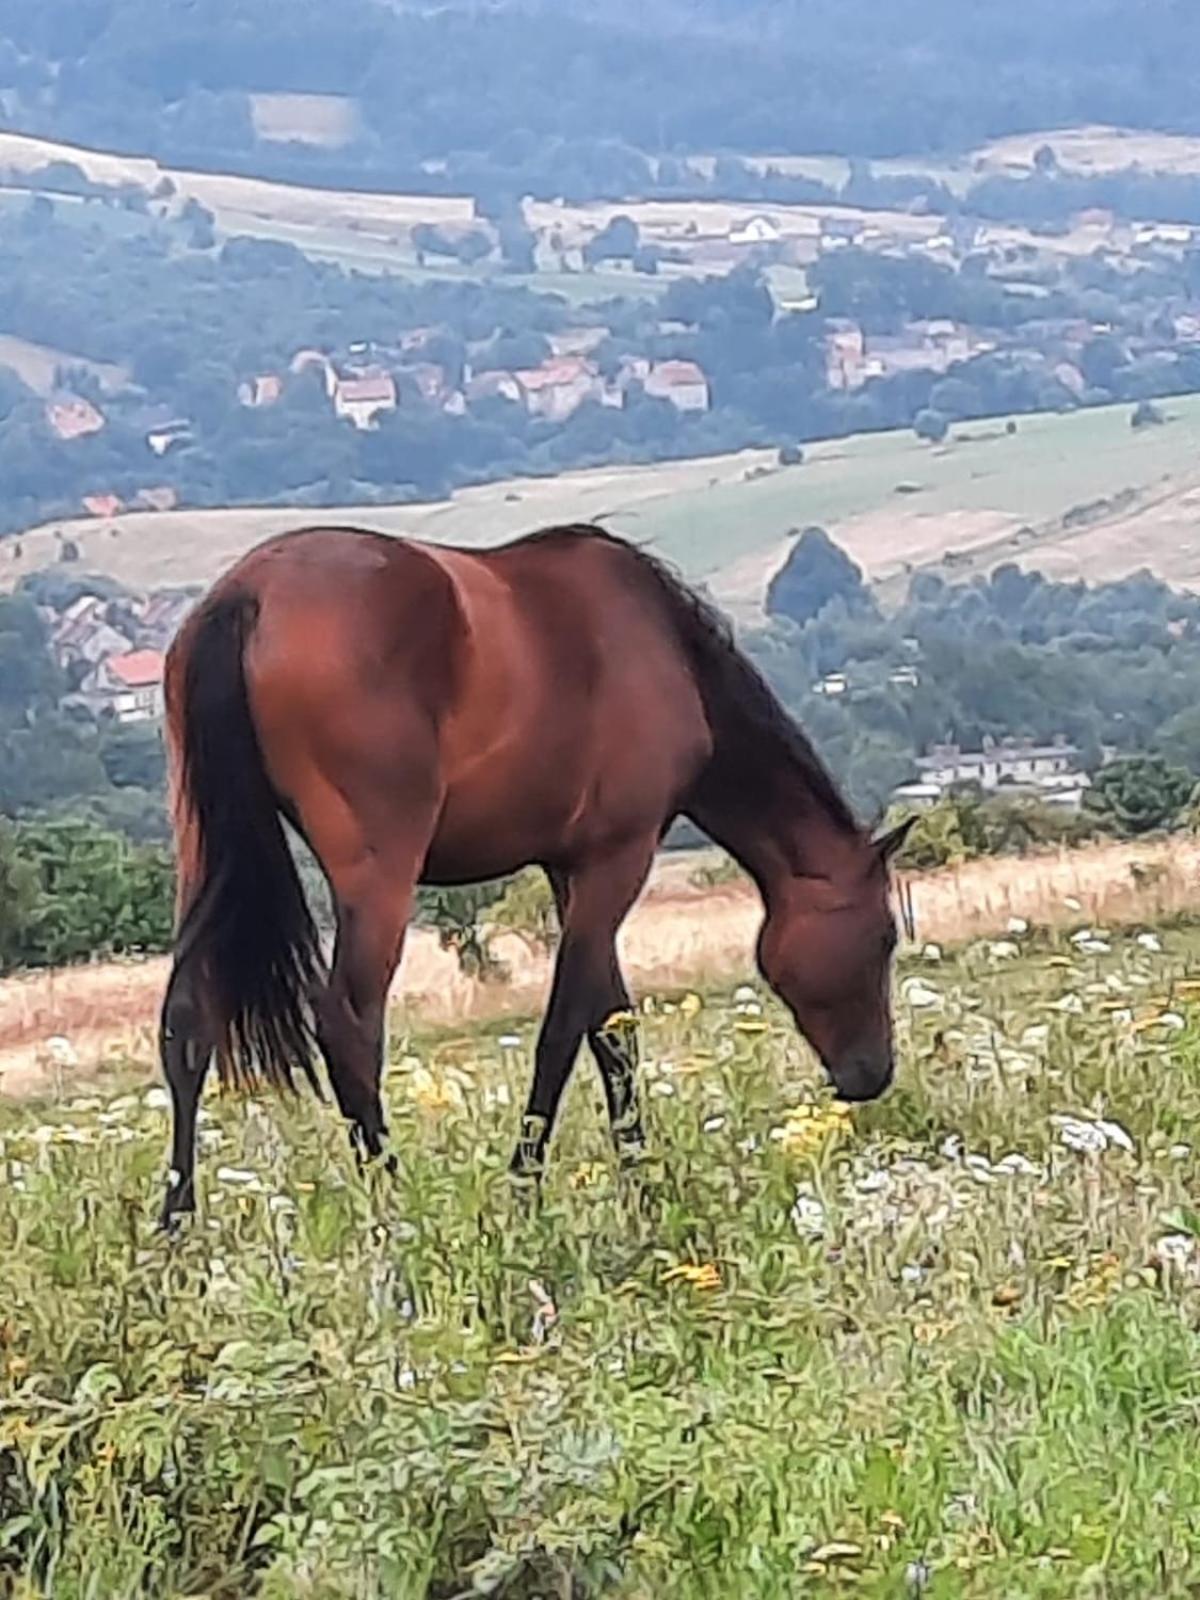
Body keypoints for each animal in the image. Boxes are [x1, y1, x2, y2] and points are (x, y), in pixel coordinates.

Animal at [157, 524, 908, 1222]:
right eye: (883, 938)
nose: (871, 1074)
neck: (664, 652)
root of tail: (248, 594)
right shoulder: (616, 858)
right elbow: (565, 1029)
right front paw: (526, 1187)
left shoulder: (568, 867)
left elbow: (612, 1031)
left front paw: (643, 1181)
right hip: (378, 879)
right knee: (348, 1026)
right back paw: (396, 1207)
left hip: (205, 852)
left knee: (186, 1022)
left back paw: (177, 1224)